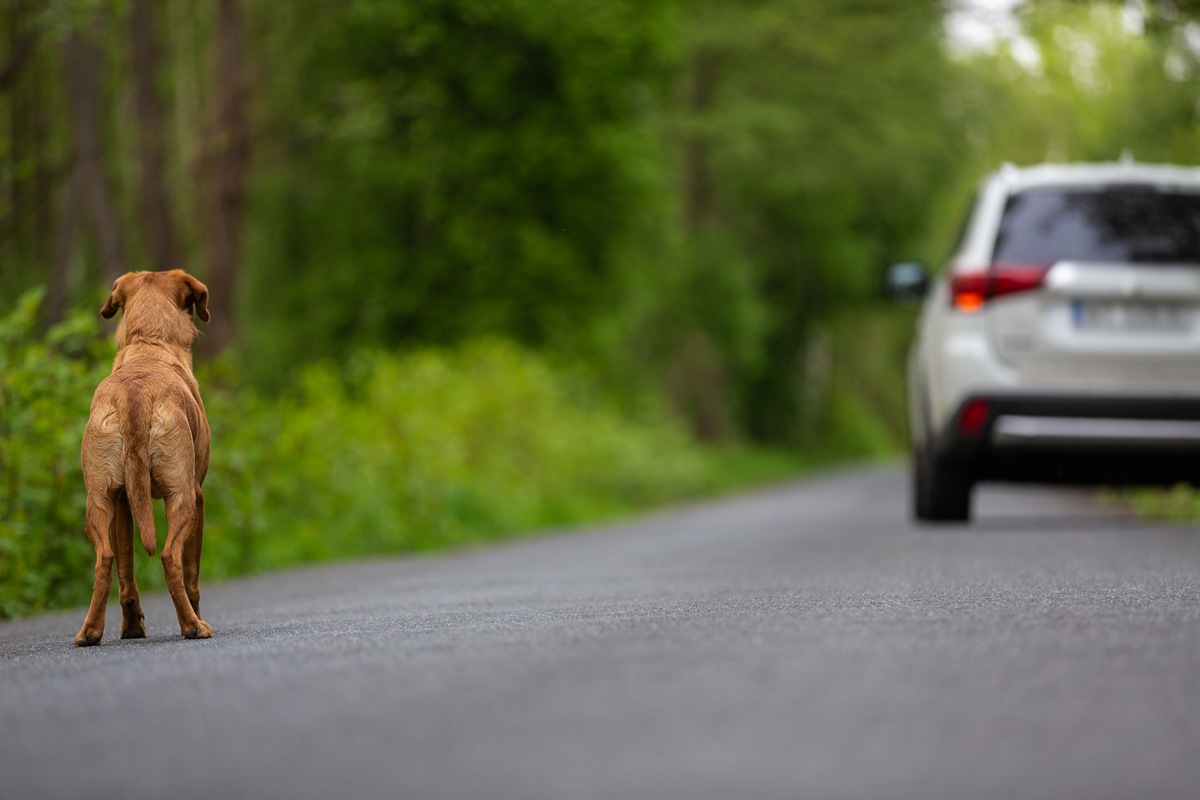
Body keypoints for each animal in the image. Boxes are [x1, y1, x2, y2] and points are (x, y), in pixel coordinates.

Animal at [74, 272, 213, 647]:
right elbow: (193, 575)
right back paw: (193, 625)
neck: (148, 342)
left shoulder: (123, 500)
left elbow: (126, 569)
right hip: (182, 499)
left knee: (105, 560)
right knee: (169, 557)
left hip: (99, 500)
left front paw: (132, 627)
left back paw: (90, 632)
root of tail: (135, 394)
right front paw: (196, 617)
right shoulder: (198, 495)